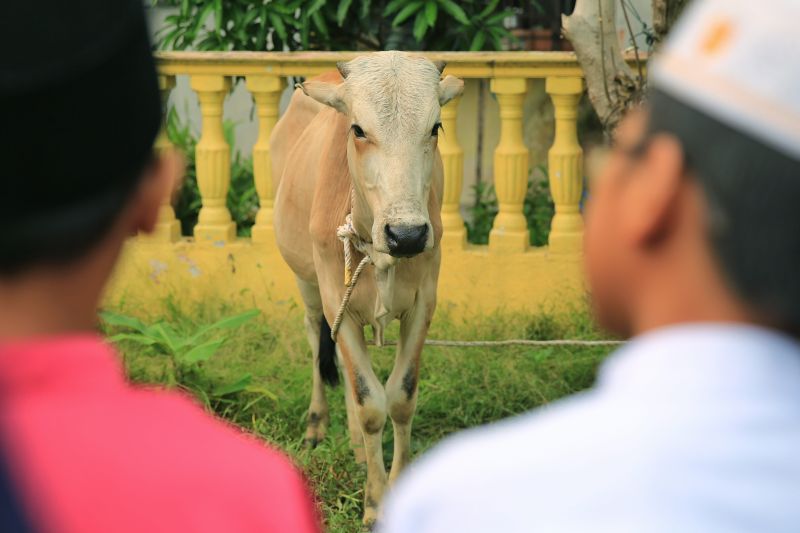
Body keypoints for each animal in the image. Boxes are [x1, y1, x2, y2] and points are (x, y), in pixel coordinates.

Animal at [271, 51, 463, 526]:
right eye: (357, 129)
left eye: (435, 127)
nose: (407, 235)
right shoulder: (333, 297)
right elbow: (369, 402)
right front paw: (376, 503)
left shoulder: (424, 302)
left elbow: (400, 397)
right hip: (306, 283)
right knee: (316, 341)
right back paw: (318, 424)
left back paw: (358, 450)